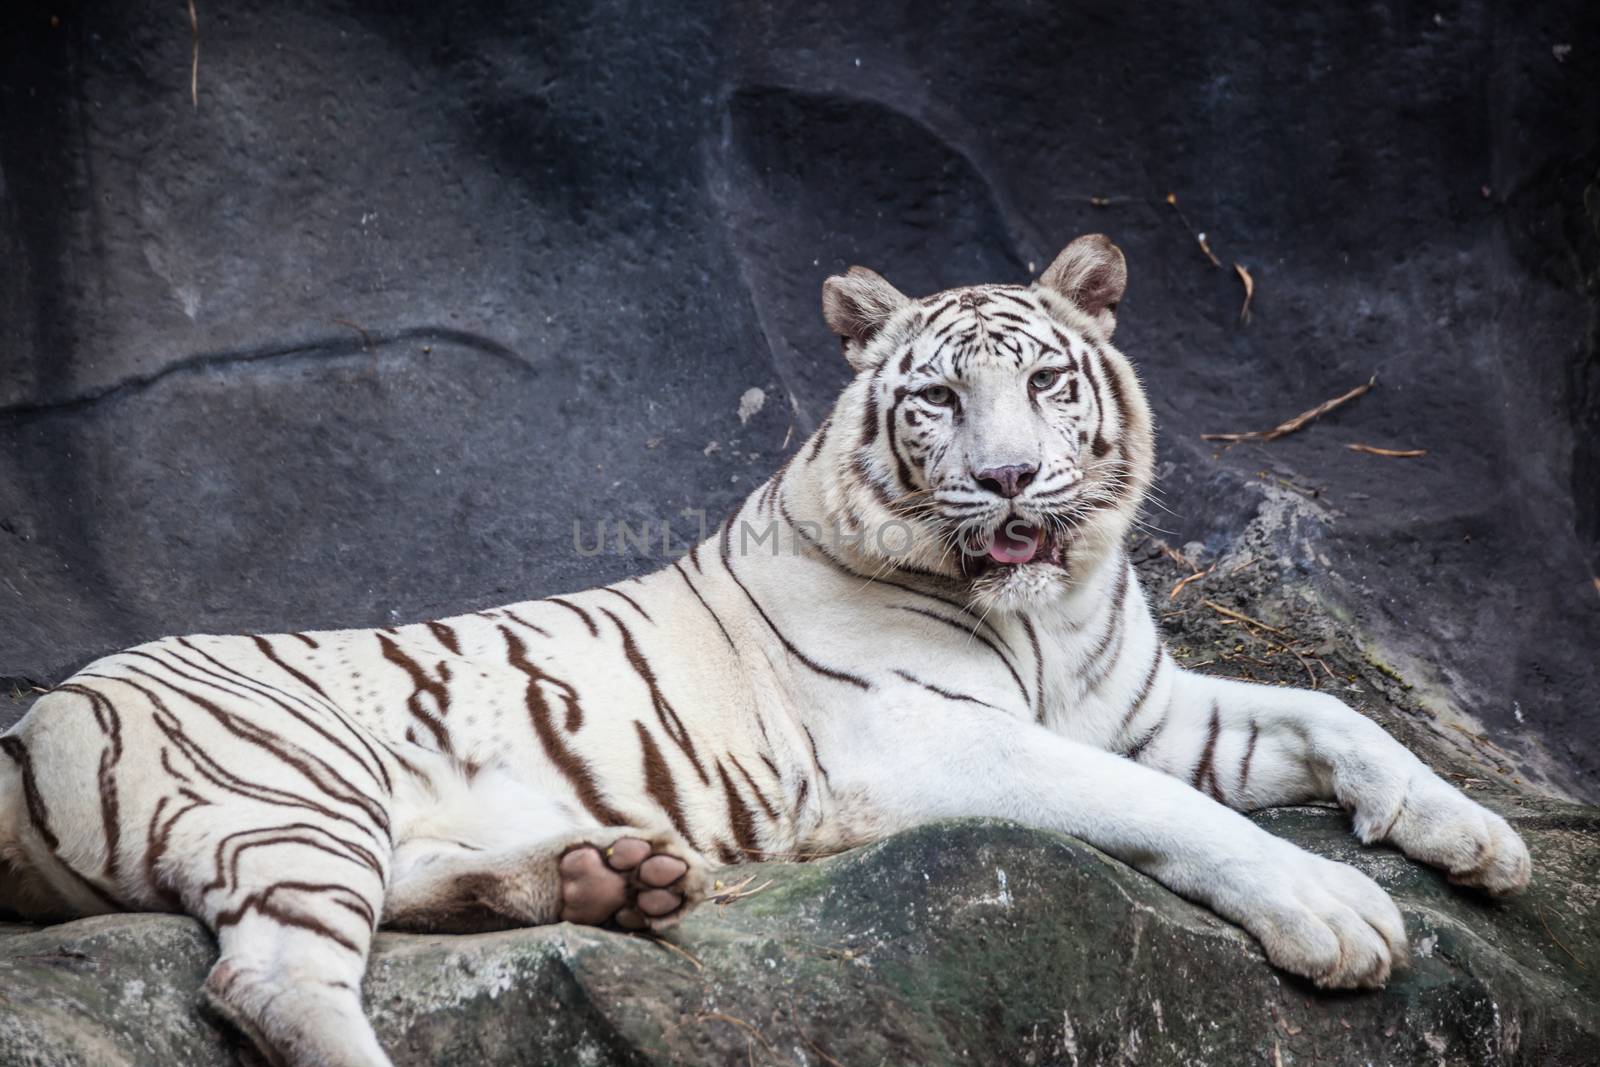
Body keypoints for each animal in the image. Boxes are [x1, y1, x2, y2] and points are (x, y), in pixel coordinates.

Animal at [3, 235, 1536, 1067]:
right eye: (937, 400)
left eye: (1047, 381)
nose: (1011, 479)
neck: (1045, 609)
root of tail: (37, 715)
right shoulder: (931, 739)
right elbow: (1169, 809)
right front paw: (1338, 911)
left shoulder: (1142, 705)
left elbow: (1335, 713)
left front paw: (1477, 838)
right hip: (295, 780)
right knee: (271, 979)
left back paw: (611, 874)